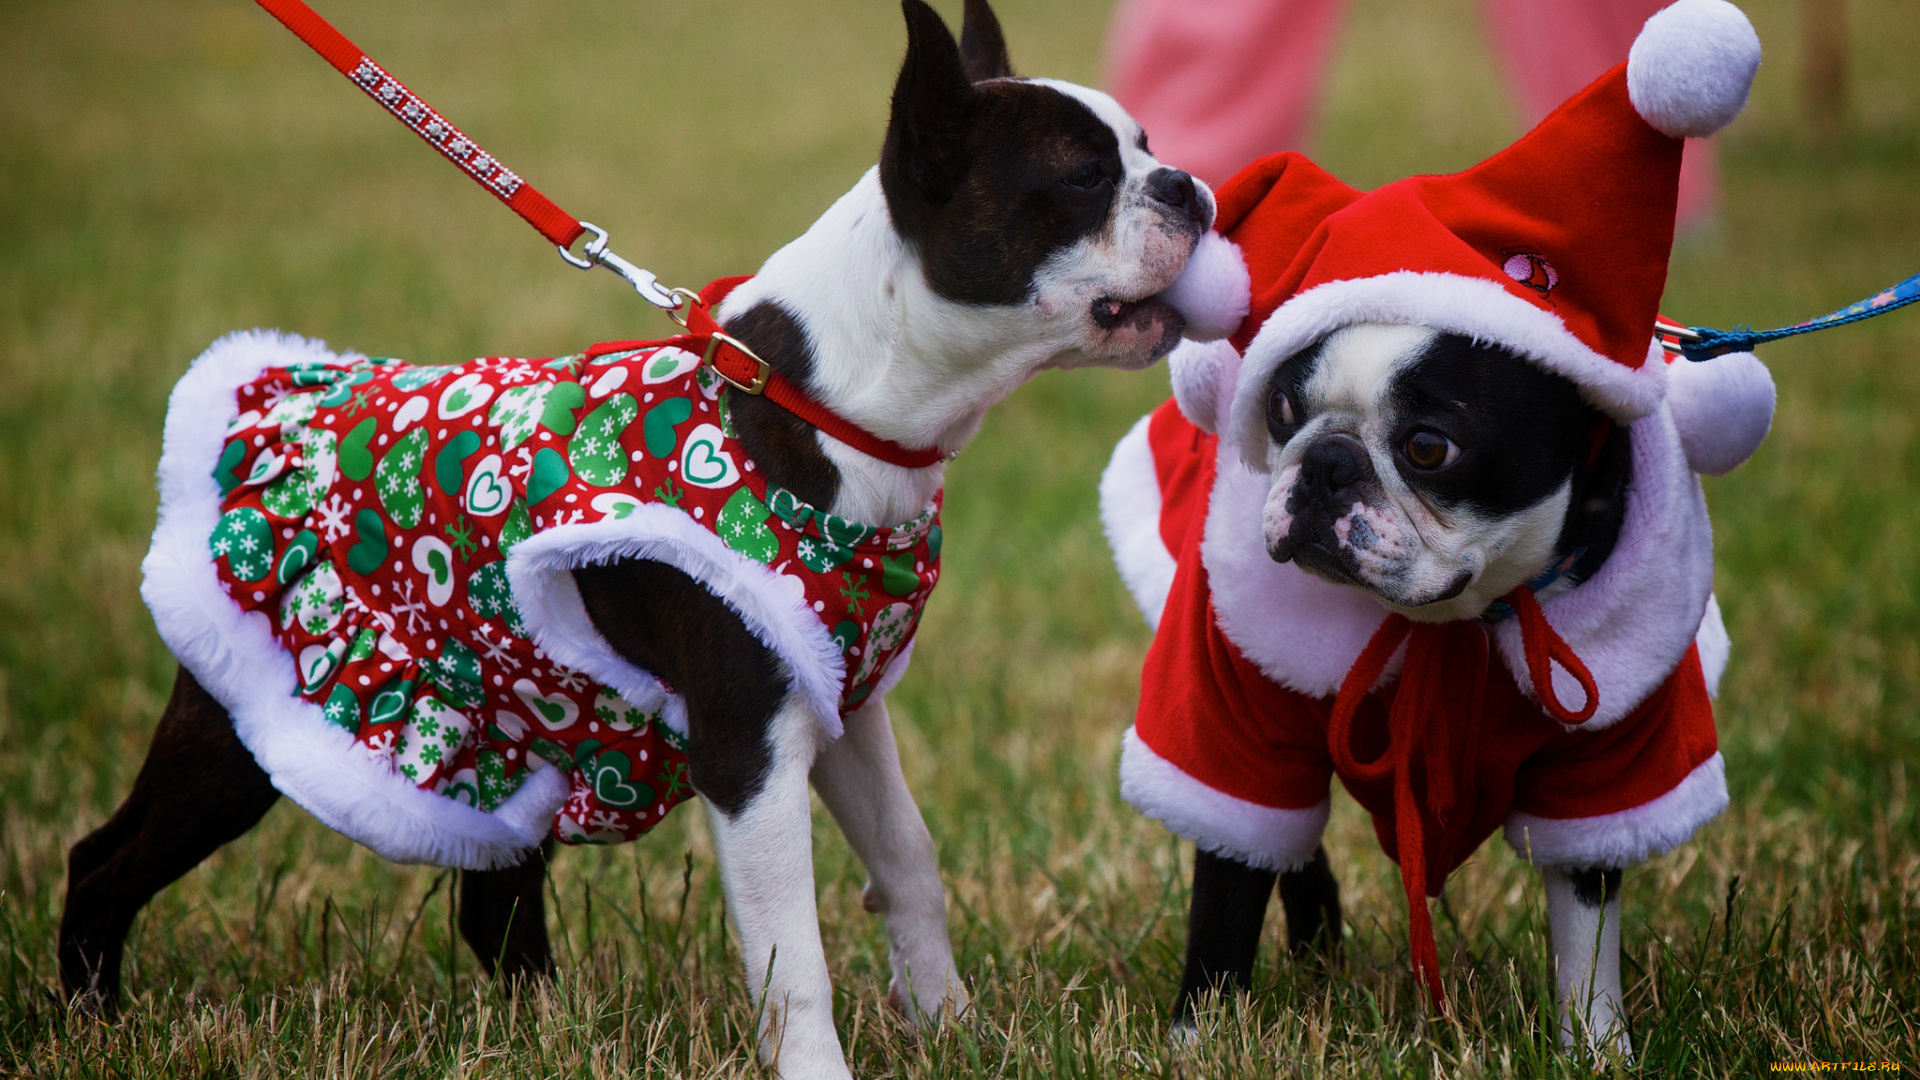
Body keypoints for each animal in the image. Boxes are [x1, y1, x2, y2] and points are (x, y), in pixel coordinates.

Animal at [67, 4, 1213, 1068]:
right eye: (1083, 176)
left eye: (1150, 144)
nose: (1189, 186)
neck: (824, 404)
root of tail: (294, 398)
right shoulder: (747, 747)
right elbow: (792, 954)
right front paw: (823, 1066)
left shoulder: (841, 702)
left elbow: (908, 859)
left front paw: (952, 1029)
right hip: (243, 729)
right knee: (105, 860)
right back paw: (91, 1019)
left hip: (505, 719)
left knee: (492, 897)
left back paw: (546, 1029)